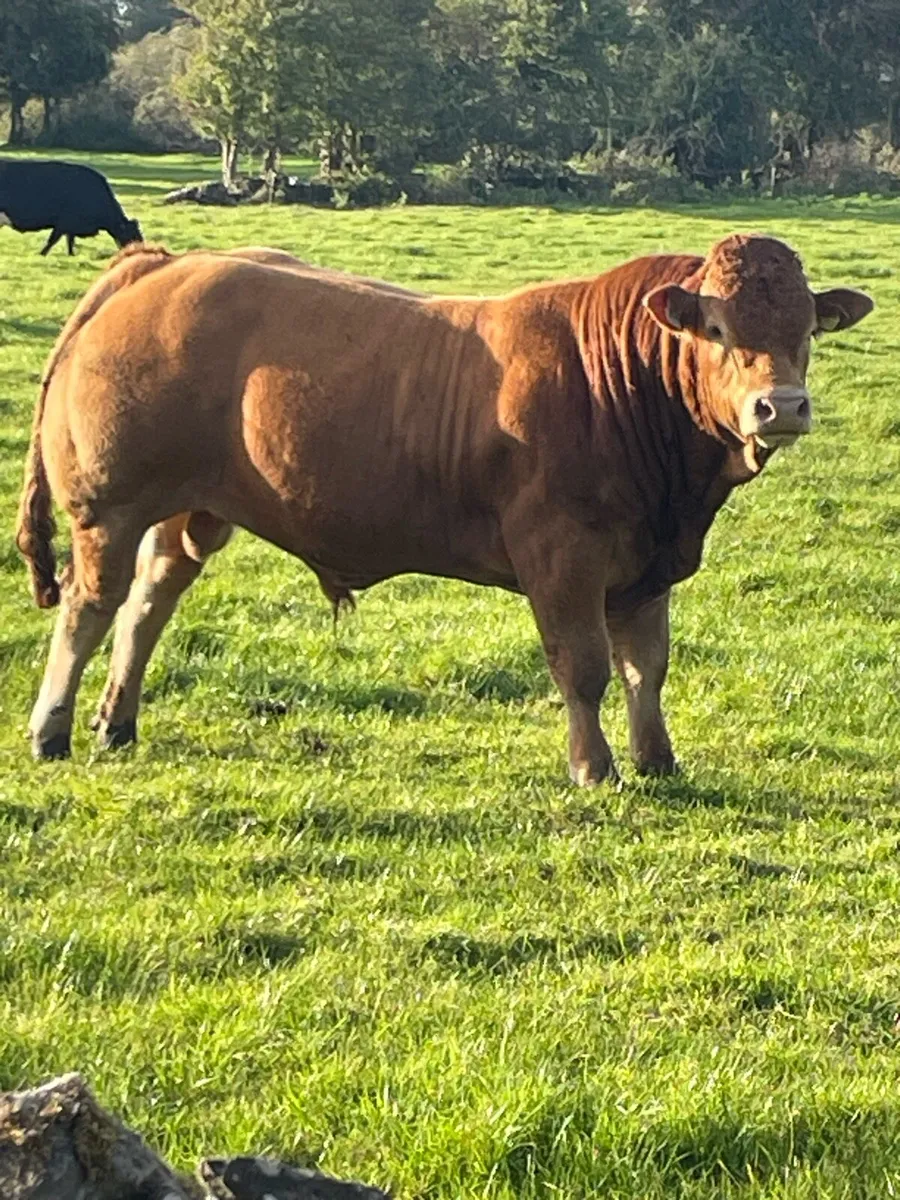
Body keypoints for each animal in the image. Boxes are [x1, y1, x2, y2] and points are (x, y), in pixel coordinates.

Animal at [0, 159, 142, 256]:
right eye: (132, 236)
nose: (141, 249)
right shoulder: (64, 222)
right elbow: (53, 240)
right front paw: (42, 254)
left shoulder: (70, 225)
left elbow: (70, 240)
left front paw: (71, 255)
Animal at [16, 235, 873, 780]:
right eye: (718, 328)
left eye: (807, 329)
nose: (781, 407)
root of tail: (164, 264)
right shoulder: (562, 559)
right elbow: (584, 667)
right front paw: (594, 767)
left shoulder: (647, 562)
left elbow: (647, 668)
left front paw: (658, 762)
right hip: (109, 506)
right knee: (91, 608)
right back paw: (51, 729)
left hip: (187, 511)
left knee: (148, 603)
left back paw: (117, 722)